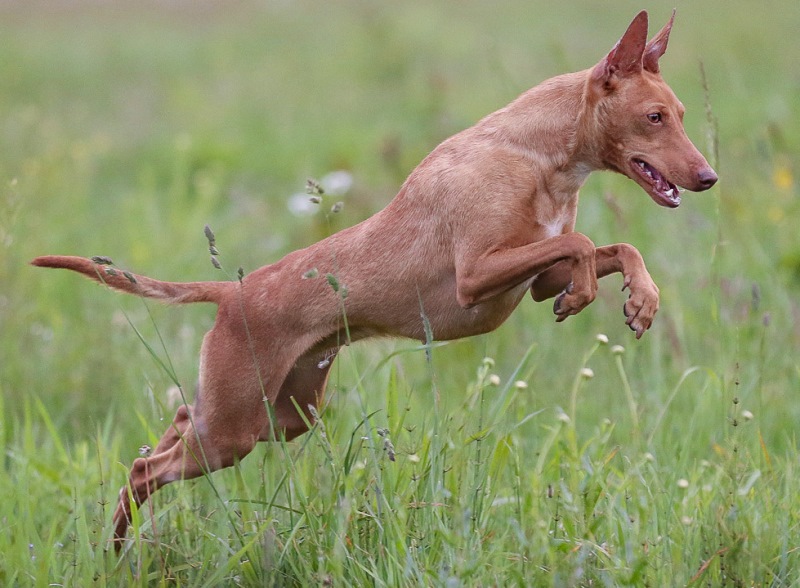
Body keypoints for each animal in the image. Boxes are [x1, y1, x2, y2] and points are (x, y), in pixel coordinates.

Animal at [31, 10, 720, 552]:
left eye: (681, 114)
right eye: (654, 117)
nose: (708, 177)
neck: (534, 155)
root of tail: (232, 292)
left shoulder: (536, 276)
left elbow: (614, 247)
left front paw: (641, 300)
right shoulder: (475, 276)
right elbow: (579, 245)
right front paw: (589, 295)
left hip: (277, 417)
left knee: (171, 425)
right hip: (234, 427)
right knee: (144, 470)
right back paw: (114, 549)